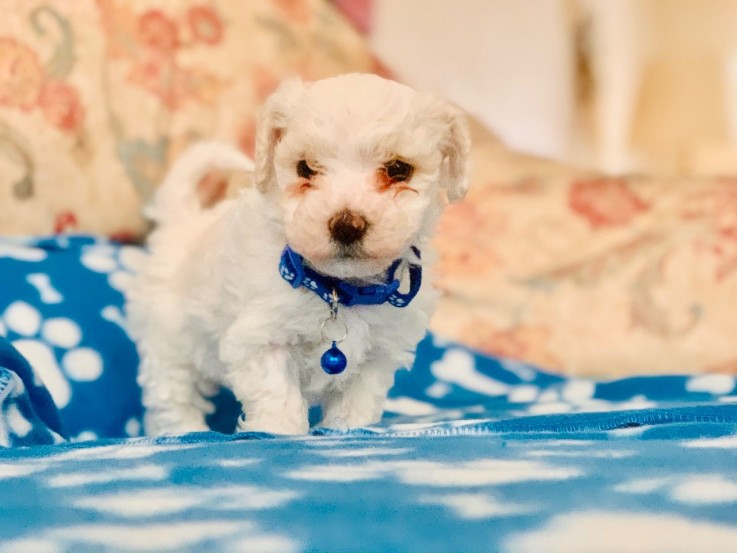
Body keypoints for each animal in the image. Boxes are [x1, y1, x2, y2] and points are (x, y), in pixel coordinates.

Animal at [126, 74, 468, 436]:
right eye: (305, 168)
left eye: (399, 169)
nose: (346, 225)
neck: (337, 290)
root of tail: (182, 223)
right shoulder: (262, 340)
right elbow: (278, 398)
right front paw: (279, 433)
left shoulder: (377, 354)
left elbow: (356, 404)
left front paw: (347, 431)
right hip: (169, 338)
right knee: (172, 394)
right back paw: (184, 432)